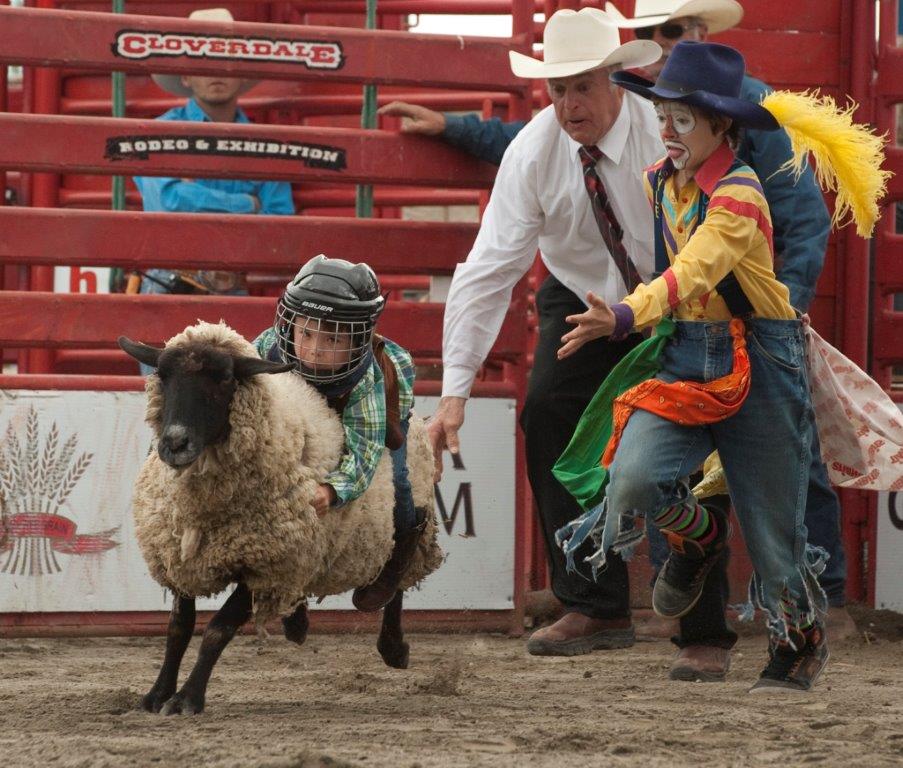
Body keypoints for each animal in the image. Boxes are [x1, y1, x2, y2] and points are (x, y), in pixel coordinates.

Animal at [118, 322, 444, 712]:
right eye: (163, 375)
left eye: (225, 378)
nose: (175, 444)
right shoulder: (180, 556)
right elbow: (178, 628)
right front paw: (158, 693)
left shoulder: (266, 564)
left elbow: (217, 631)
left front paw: (187, 699)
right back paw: (297, 622)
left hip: (397, 517)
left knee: (397, 575)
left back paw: (393, 644)